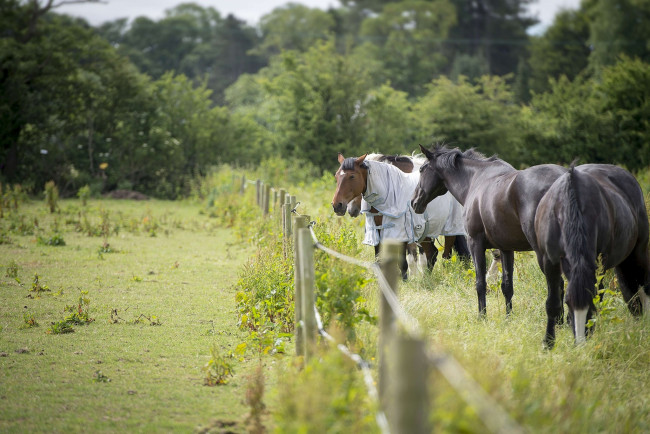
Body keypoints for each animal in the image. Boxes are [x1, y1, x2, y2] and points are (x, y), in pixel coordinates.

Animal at [332, 154, 464, 280]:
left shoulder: (404, 234)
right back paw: (426, 279)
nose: (338, 206)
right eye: (337, 176)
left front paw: (406, 280)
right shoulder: (379, 230)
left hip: (449, 229)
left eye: (352, 176)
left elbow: (406, 261)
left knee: (446, 255)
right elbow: (379, 259)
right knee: (432, 253)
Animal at [532, 164, 648, 346]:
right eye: (568, 303)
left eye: (590, 306)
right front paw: (548, 343)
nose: (580, 344)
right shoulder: (549, 262)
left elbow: (599, 297)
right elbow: (552, 304)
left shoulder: (599, 262)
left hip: (639, 251)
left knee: (643, 285)